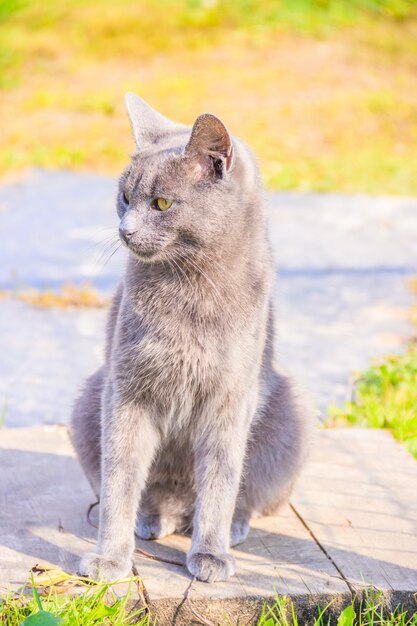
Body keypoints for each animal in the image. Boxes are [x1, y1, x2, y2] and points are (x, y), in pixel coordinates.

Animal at [70, 91, 308, 580]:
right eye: (125, 197)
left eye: (162, 204)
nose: (125, 230)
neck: (190, 288)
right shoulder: (126, 391)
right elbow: (120, 477)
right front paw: (109, 559)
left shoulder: (230, 398)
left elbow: (220, 481)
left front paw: (211, 553)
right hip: (88, 401)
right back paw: (150, 519)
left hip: (287, 422)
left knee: (238, 496)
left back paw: (232, 527)